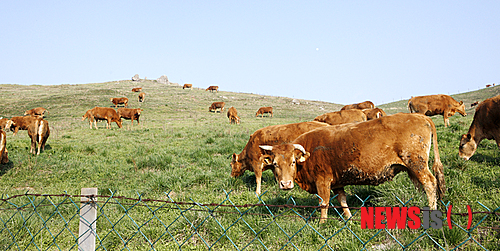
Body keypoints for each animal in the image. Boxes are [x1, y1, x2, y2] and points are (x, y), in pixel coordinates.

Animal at [260, 113, 444, 223]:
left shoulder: (322, 181)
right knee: (421, 187)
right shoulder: (337, 183)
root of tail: (420, 116)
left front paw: (322, 222)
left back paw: (432, 211)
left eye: (293, 162)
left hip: (417, 165)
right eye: (275, 164)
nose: (285, 184)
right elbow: (342, 200)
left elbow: (324, 202)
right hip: (412, 169)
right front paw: (348, 218)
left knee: (430, 183)